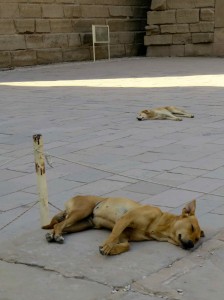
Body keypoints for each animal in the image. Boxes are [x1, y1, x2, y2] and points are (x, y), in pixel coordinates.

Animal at [42, 196, 205, 256]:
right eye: (191, 227)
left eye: (197, 239)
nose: (191, 245)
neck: (157, 224)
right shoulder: (125, 219)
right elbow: (113, 235)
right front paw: (108, 246)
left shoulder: (124, 236)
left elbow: (126, 245)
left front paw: (112, 250)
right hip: (81, 211)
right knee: (60, 224)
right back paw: (56, 235)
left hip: (82, 224)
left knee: (59, 226)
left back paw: (53, 234)